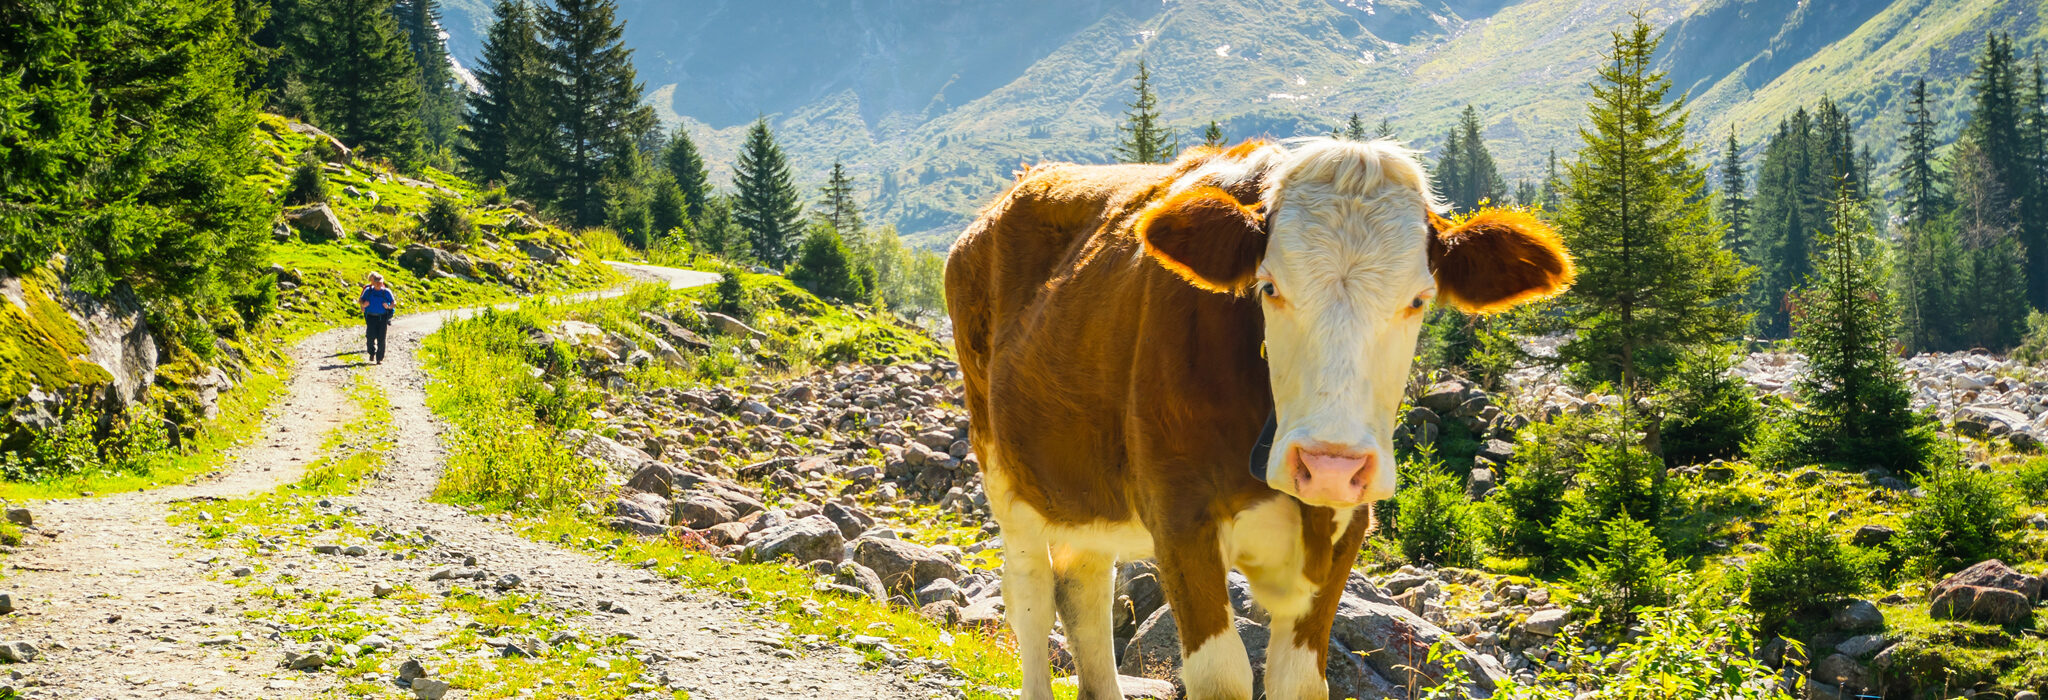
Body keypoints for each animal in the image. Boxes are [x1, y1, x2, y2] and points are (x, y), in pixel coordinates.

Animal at [943, 137, 1573, 700]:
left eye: (1419, 300)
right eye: (1269, 287)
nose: (1328, 465)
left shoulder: (1346, 528)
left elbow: (1300, 681)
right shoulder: (1181, 517)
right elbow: (1221, 678)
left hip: (1083, 492)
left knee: (1084, 588)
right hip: (1005, 470)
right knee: (1030, 596)